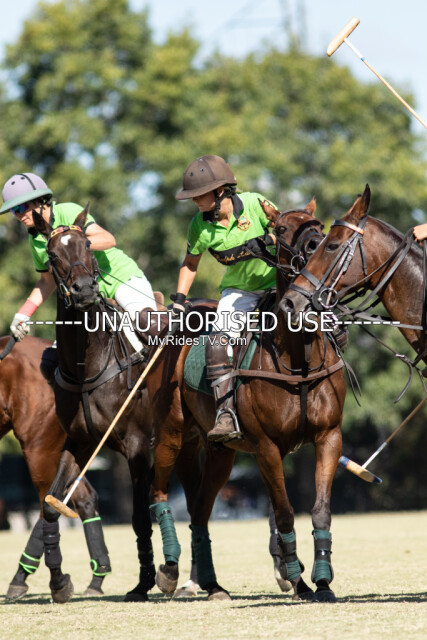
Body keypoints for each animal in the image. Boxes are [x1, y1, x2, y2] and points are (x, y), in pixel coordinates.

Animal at [146, 199, 346, 602]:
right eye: (281, 230)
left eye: (318, 224)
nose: (315, 245)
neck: (297, 356)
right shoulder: (268, 448)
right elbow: (284, 513)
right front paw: (298, 581)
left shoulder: (329, 436)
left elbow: (318, 510)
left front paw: (320, 580)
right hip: (172, 431)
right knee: (159, 492)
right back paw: (170, 571)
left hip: (221, 452)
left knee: (200, 510)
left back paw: (212, 584)